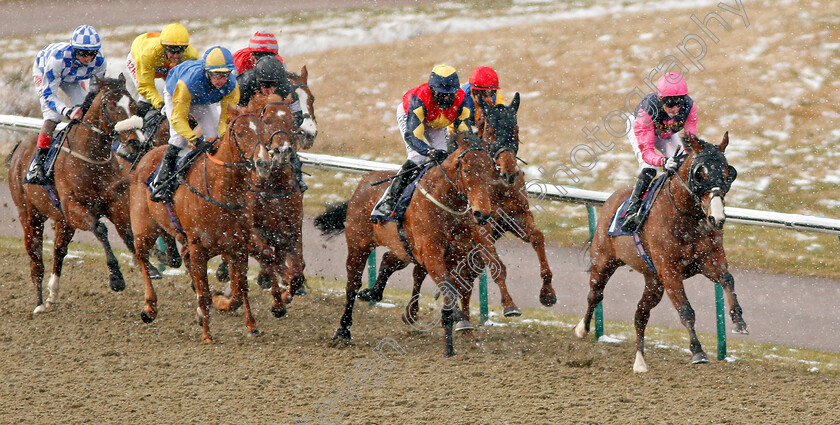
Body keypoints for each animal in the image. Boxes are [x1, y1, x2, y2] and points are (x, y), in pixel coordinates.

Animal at [8, 73, 145, 314]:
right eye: (111, 106)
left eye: (133, 105)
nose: (136, 141)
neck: (90, 157)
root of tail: (18, 148)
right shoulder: (74, 209)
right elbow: (100, 230)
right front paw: (116, 278)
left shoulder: (113, 204)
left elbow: (127, 232)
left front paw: (151, 267)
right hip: (30, 216)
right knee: (35, 257)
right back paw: (39, 302)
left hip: (62, 221)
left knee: (58, 250)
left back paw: (52, 294)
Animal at [130, 105, 272, 342]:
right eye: (240, 133)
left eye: (263, 130)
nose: (263, 162)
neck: (220, 190)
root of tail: (149, 154)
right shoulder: (198, 246)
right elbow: (205, 292)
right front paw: (207, 335)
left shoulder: (238, 246)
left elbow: (240, 288)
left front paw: (250, 324)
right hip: (144, 228)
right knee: (142, 257)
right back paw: (149, 307)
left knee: (184, 259)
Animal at [316, 132, 498, 354]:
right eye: (466, 170)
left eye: (491, 170)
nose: (483, 213)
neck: (445, 202)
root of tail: (363, 182)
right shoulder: (431, 253)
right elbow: (449, 289)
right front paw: (456, 330)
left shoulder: (455, 254)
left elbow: (454, 286)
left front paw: (455, 327)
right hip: (359, 244)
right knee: (352, 284)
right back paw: (343, 330)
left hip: (403, 248)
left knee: (388, 260)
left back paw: (374, 294)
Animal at [576, 132, 744, 372]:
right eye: (700, 173)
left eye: (727, 173)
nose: (717, 218)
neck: (685, 217)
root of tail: (612, 199)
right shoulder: (670, 272)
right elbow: (686, 310)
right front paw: (697, 351)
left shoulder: (708, 260)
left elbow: (727, 279)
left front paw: (739, 320)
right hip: (604, 261)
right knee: (595, 294)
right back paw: (582, 328)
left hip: (653, 281)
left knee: (641, 314)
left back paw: (639, 362)